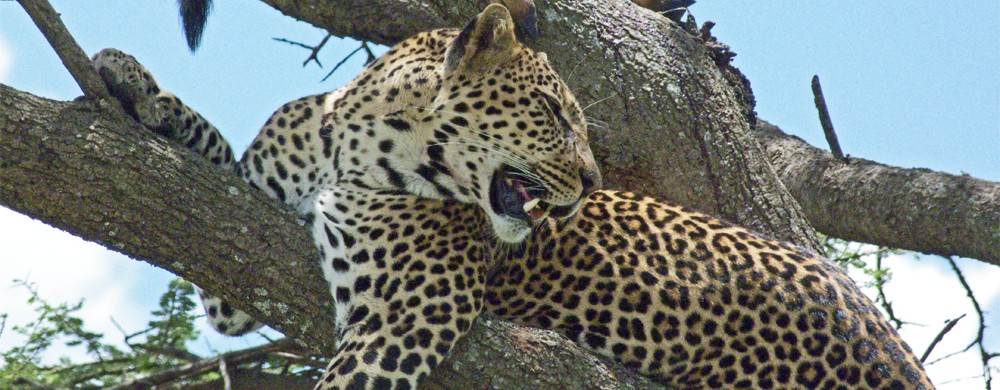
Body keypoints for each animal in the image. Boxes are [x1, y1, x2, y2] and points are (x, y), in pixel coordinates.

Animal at [90, 3, 932, 390]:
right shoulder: (240, 247)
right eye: (554, 113)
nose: (593, 183)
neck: (348, 149)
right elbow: (209, 155)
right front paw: (135, 84)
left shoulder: (405, 318)